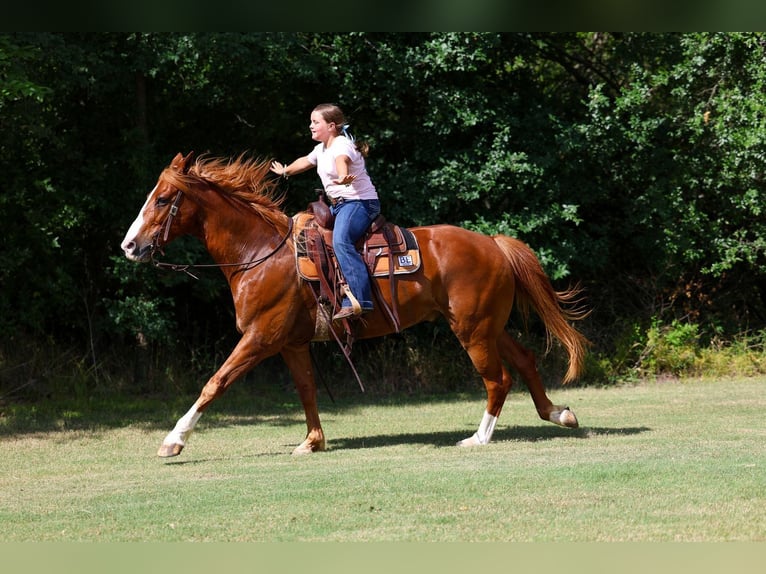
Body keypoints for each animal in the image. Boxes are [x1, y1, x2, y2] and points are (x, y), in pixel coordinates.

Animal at [121, 152, 589, 457]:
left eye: (162, 199)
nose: (129, 245)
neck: (261, 253)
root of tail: (492, 243)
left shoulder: (260, 338)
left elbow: (214, 383)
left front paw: (174, 440)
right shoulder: (291, 343)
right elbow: (306, 390)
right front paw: (312, 441)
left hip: (472, 329)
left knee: (498, 378)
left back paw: (479, 437)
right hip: (489, 325)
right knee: (524, 360)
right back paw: (558, 414)